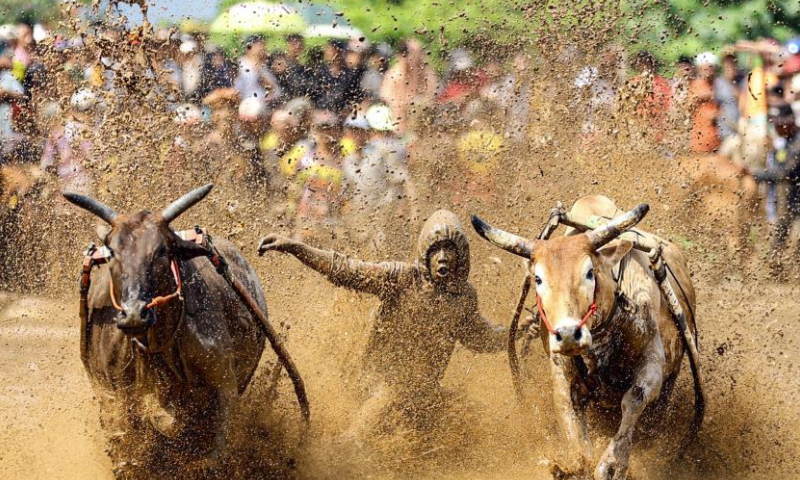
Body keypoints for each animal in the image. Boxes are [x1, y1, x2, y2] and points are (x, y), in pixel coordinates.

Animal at [63, 185, 273, 475]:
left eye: (161, 251)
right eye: (113, 252)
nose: (134, 314)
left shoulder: (224, 387)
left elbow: (212, 454)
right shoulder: (113, 399)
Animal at [472, 195, 701, 480]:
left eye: (590, 272)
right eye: (538, 278)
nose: (569, 335)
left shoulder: (653, 363)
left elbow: (634, 398)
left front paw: (613, 464)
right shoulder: (562, 372)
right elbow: (569, 420)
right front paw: (575, 466)